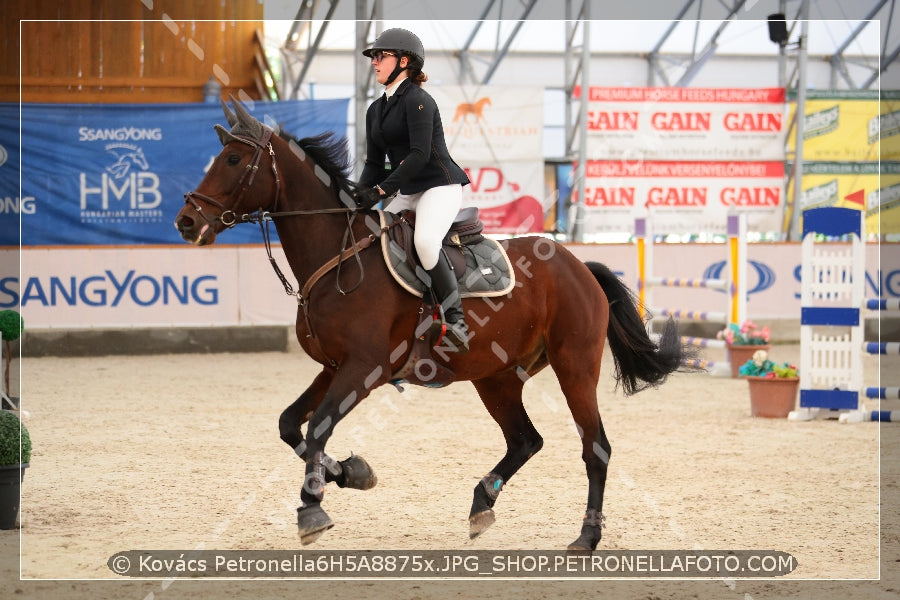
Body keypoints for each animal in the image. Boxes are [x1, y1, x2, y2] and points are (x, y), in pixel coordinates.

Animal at [172, 99, 684, 552]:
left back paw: (586, 537)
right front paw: (352, 473)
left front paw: (312, 509)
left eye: (233, 159)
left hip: (574, 366)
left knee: (594, 448)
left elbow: (316, 429)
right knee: (525, 440)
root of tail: (578, 264)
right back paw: (482, 505)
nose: (186, 221)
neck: (340, 257)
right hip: (496, 378)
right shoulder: (334, 367)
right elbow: (290, 426)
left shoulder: (364, 369)